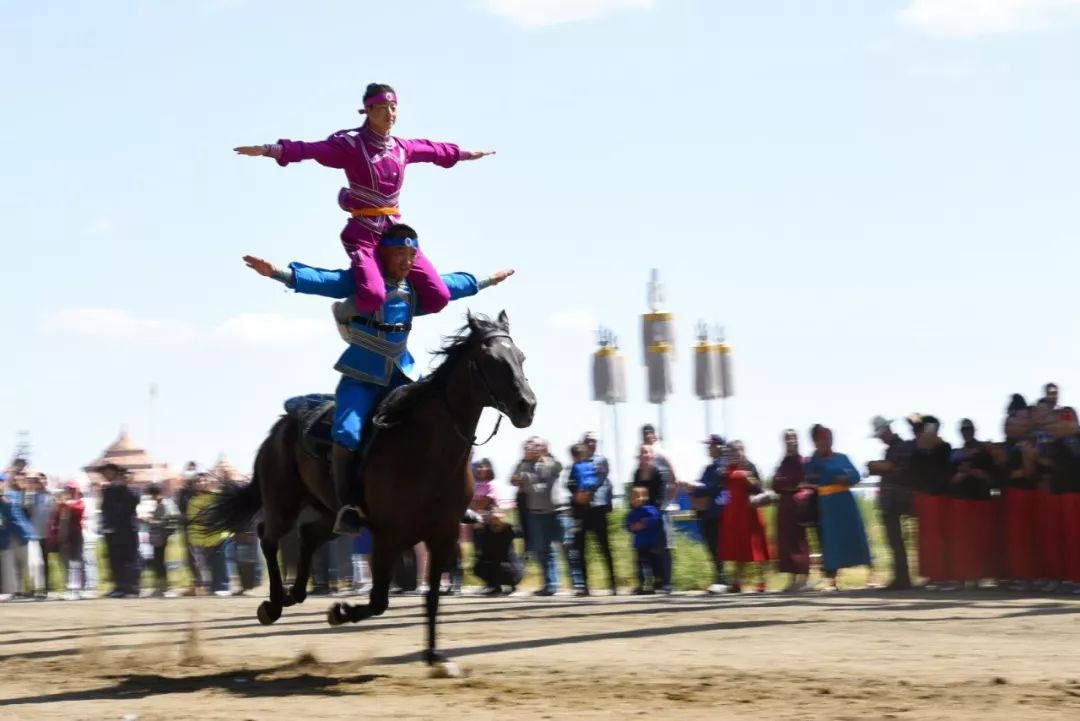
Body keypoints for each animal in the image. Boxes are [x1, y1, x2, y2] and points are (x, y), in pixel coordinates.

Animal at [199, 313, 535, 673]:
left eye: (521, 357)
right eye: (491, 360)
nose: (527, 406)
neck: (428, 449)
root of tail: (280, 426)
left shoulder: (442, 535)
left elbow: (431, 598)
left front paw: (434, 656)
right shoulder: (389, 536)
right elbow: (378, 601)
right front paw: (339, 612)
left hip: (330, 513)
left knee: (308, 536)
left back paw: (294, 594)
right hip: (283, 504)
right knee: (268, 536)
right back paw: (274, 604)